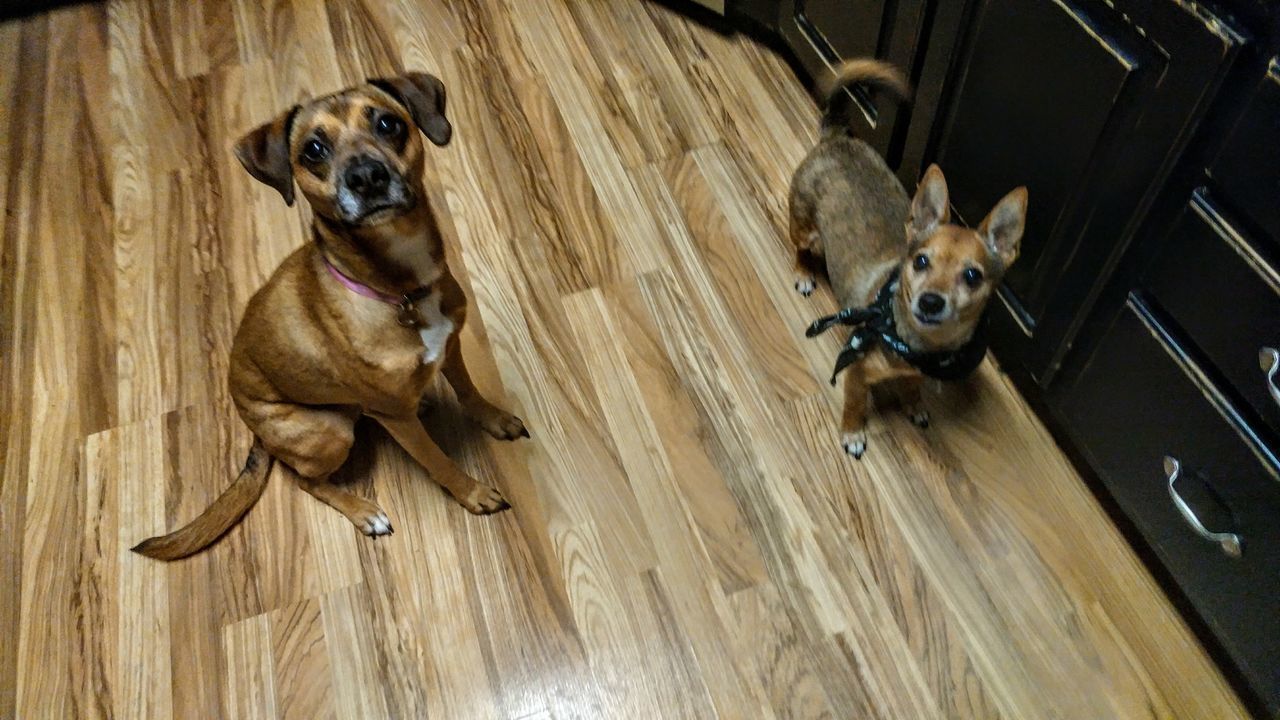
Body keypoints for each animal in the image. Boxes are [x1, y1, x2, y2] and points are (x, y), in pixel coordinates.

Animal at [135, 70, 524, 558]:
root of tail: (256, 432)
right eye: (314, 150)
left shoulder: (450, 346)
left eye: (388, 124)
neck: (397, 289)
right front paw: (472, 493)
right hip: (328, 432)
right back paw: (364, 512)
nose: (367, 177)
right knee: (307, 482)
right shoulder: (401, 422)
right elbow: (438, 460)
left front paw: (495, 419)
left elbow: (470, 392)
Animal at [788, 58, 1029, 456]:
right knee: (799, 249)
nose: (931, 302)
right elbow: (855, 403)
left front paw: (914, 405)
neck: (918, 343)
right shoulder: (856, 372)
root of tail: (837, 138)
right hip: (802, 227)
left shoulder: (918, 372)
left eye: (973, 276)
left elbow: (913, 386)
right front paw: (853, 434)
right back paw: (804, 273)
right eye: (920, 262)